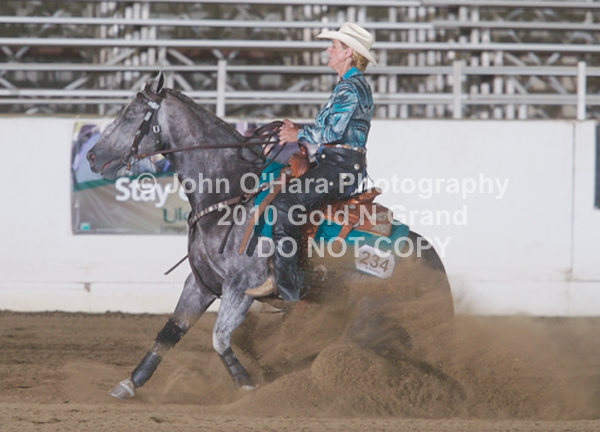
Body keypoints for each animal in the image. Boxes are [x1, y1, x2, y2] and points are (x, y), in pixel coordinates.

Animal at [87, 72, 454, 399]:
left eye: (131, 115)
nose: (91, 155)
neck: (231, 193)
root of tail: (427, 254)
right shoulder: (202, 283)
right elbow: (170, 332)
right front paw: (129, 383)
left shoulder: (241, 288)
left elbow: (219, 338)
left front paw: (248, 387)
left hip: (371, 313)